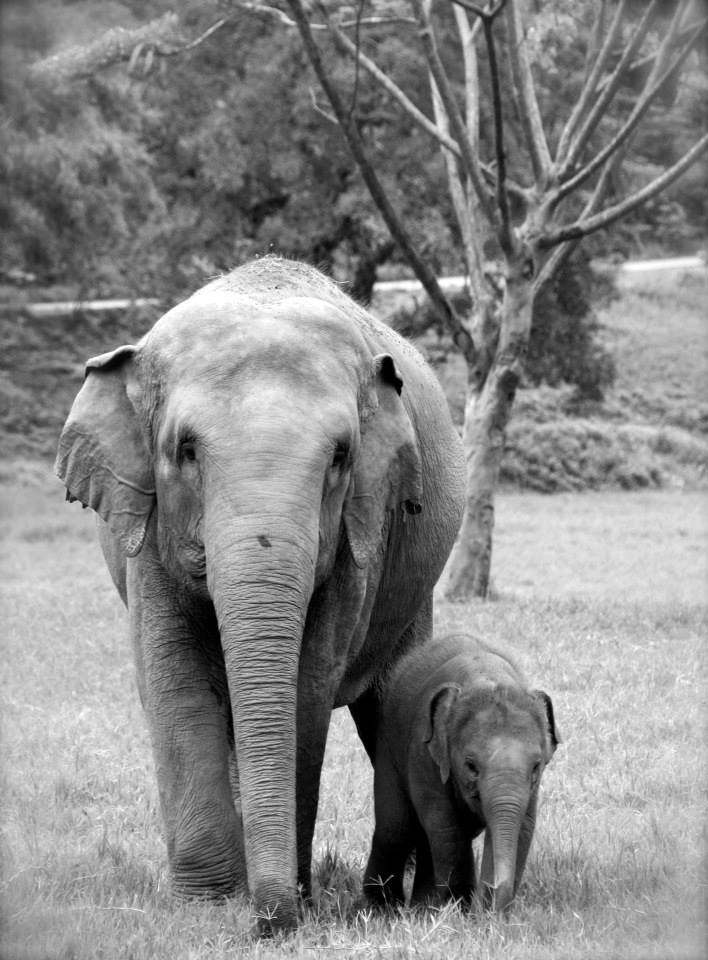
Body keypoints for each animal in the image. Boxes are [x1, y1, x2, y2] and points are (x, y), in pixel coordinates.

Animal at [55, 256, 465, 934]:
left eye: (341, 456)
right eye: (185, 450)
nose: (273, 921)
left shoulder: (360, 538)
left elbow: (306, 684)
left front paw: (282, 898)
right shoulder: (147, 532)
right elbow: (174, 680)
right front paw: (209, 906)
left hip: (411, 588)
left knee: (394, 705)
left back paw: (402, 897)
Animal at [363, 633, 558, 912]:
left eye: (536, 766)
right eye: (471, 766)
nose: (489, 902)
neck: (487, 677)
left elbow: (522, 827)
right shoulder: (423, 753)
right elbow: (446, 824)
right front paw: (460, 909)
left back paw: (422, 907)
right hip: (388, 747)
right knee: (396, 828)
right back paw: (382, 907)